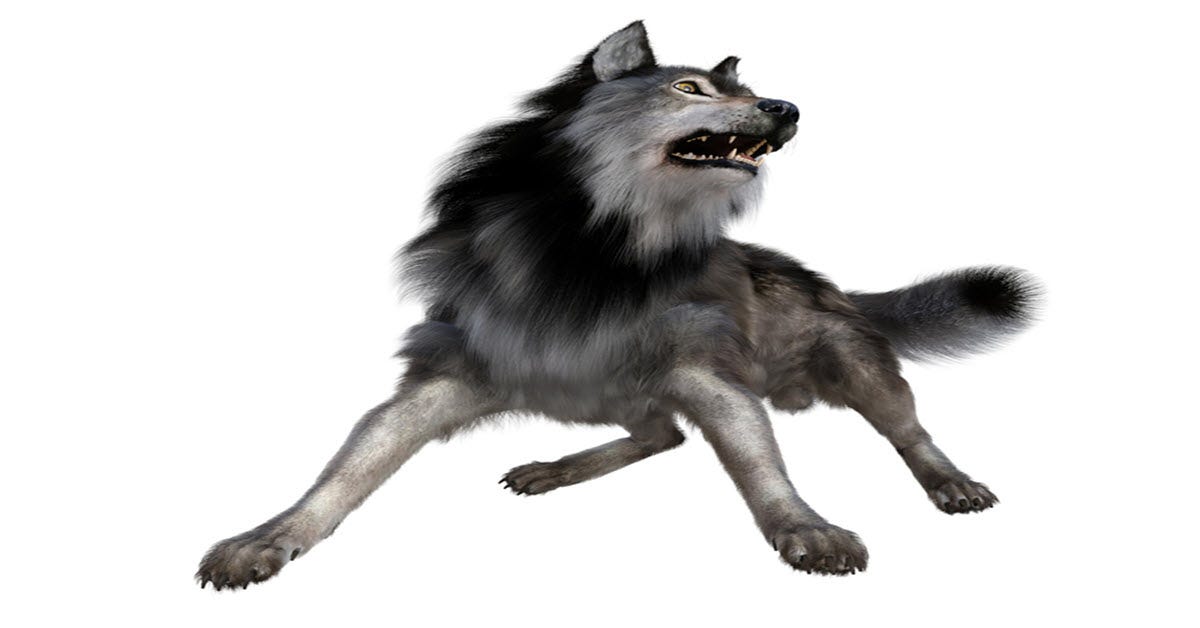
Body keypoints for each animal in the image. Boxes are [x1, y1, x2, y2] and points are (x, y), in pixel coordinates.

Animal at [197, 21, 1039, 589]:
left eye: (745, 91)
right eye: (691, 89)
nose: (787, 107)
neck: (592, 248)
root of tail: (819, 276)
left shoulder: (707, 374)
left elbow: (761, 469)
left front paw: (807, 529)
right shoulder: (446, 373)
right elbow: (345, 472)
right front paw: (267, 539)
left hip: (856, 365)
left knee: (910, 433)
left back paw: (950, 483)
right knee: (659, 435)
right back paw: (558, 467)